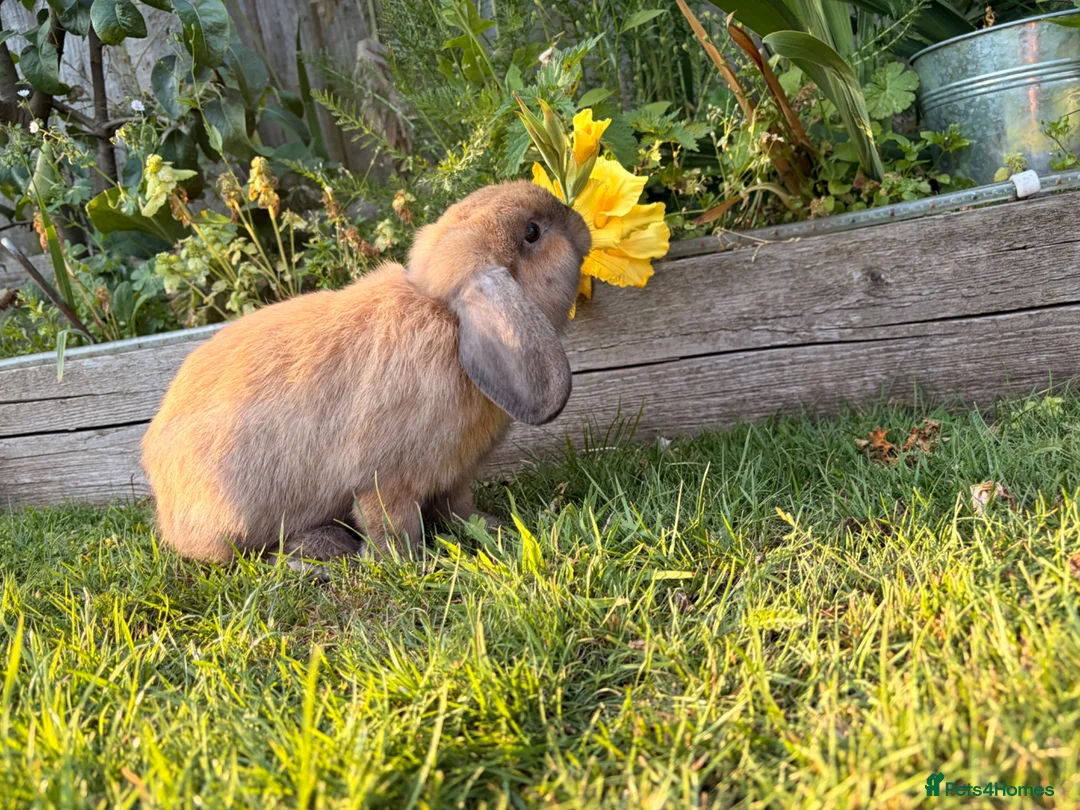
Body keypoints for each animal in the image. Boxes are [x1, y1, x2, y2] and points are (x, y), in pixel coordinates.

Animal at [141, 180, 591, 568]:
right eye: (532, 232)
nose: (580, 220)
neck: (447, 319)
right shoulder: (384, 482)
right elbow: (392, 527)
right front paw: (408, 563)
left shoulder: (454, 477)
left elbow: (459, 509)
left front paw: (491, 527)